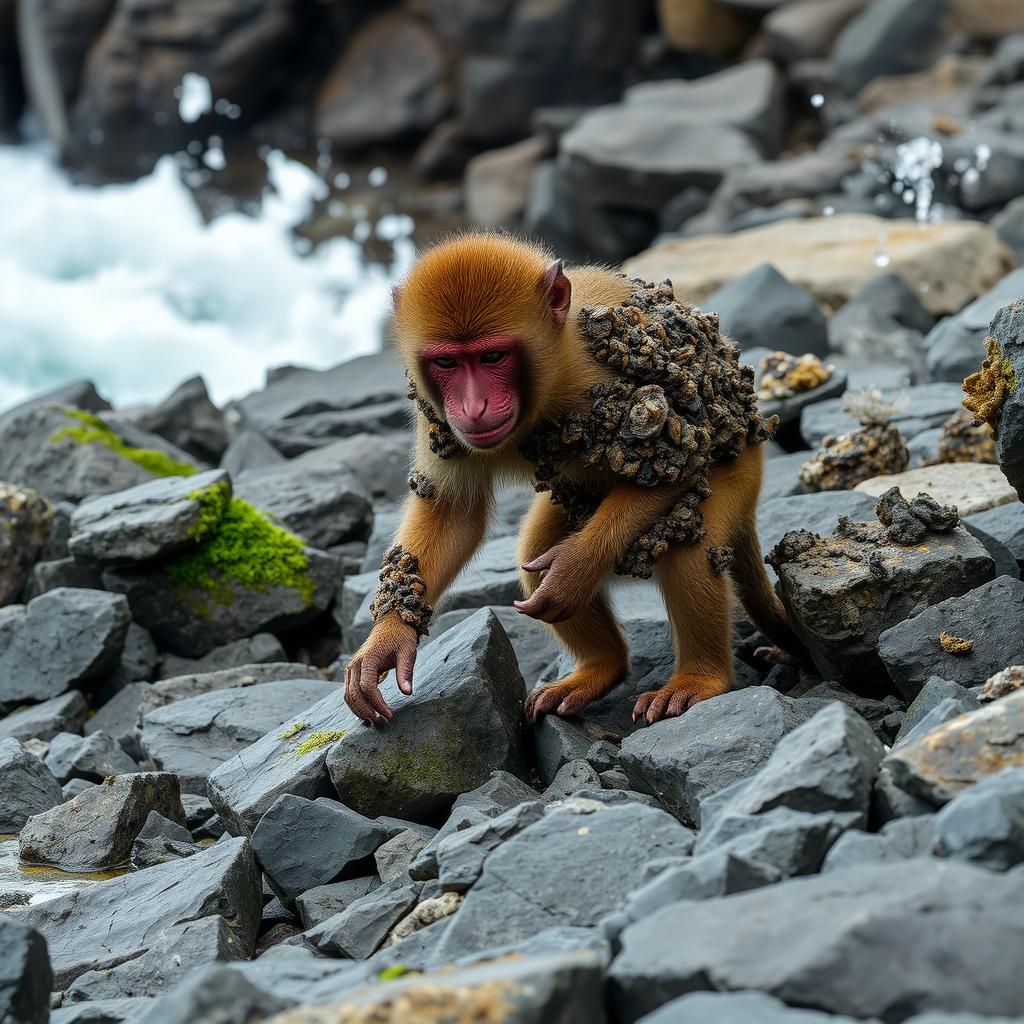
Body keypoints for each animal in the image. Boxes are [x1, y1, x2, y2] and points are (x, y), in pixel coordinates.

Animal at [344, 234, 801, 728]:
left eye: (492, 356)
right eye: (447, 362)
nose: (473, 407)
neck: (550, 374)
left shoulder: (600, 377)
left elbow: (678, 464)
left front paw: (574, 569)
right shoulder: (434, 413)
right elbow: (453, 511)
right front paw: (388, 638)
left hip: (740, 471)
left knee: (690, 545)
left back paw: (700, 679)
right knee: (534, 548)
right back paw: (601, 669)